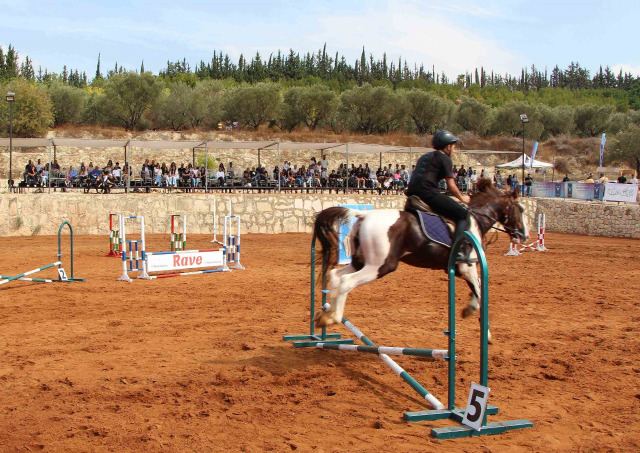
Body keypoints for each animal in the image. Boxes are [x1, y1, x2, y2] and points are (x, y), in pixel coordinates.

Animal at [312, 178, 528, 340]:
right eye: (521, 209)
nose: (524, 236)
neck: (476, 220)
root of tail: (364, 215)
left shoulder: (463, 270)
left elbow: (478, 288)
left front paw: (469, 310)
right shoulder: (468, 267)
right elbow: (480, 291)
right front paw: (486, 331)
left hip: (360, 262)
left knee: (335, 275)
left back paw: (326, 316)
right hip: (379, 266)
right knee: (346, 282)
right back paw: (335, 317)